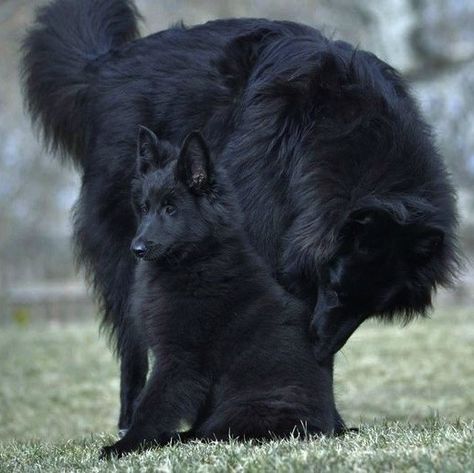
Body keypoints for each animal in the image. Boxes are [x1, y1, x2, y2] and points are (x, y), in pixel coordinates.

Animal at [102, 126, 340, 458]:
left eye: (171, 209)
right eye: (145, 208)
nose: (136, 249)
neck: (197, 260)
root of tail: (328, 427)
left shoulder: (180, 359)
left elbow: (152, 406)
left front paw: (125, 446)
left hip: (241, 410)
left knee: (208, 432)